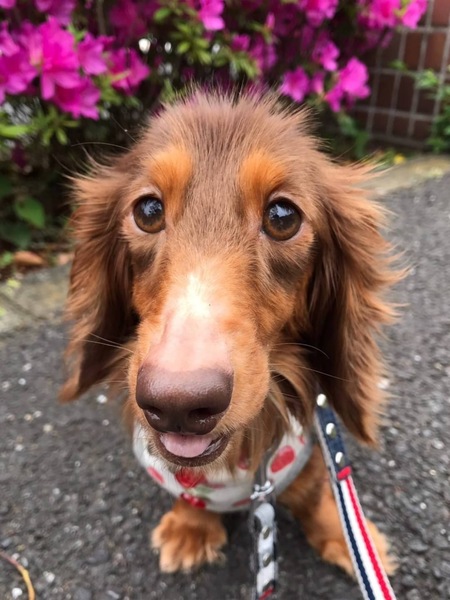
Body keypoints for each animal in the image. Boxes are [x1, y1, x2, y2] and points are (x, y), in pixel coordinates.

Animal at [61, 91, 399, 577]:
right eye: (148, 210)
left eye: (282, 216)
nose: (177, 404)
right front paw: (191, 525)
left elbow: (319, 484)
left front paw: (347, 536)